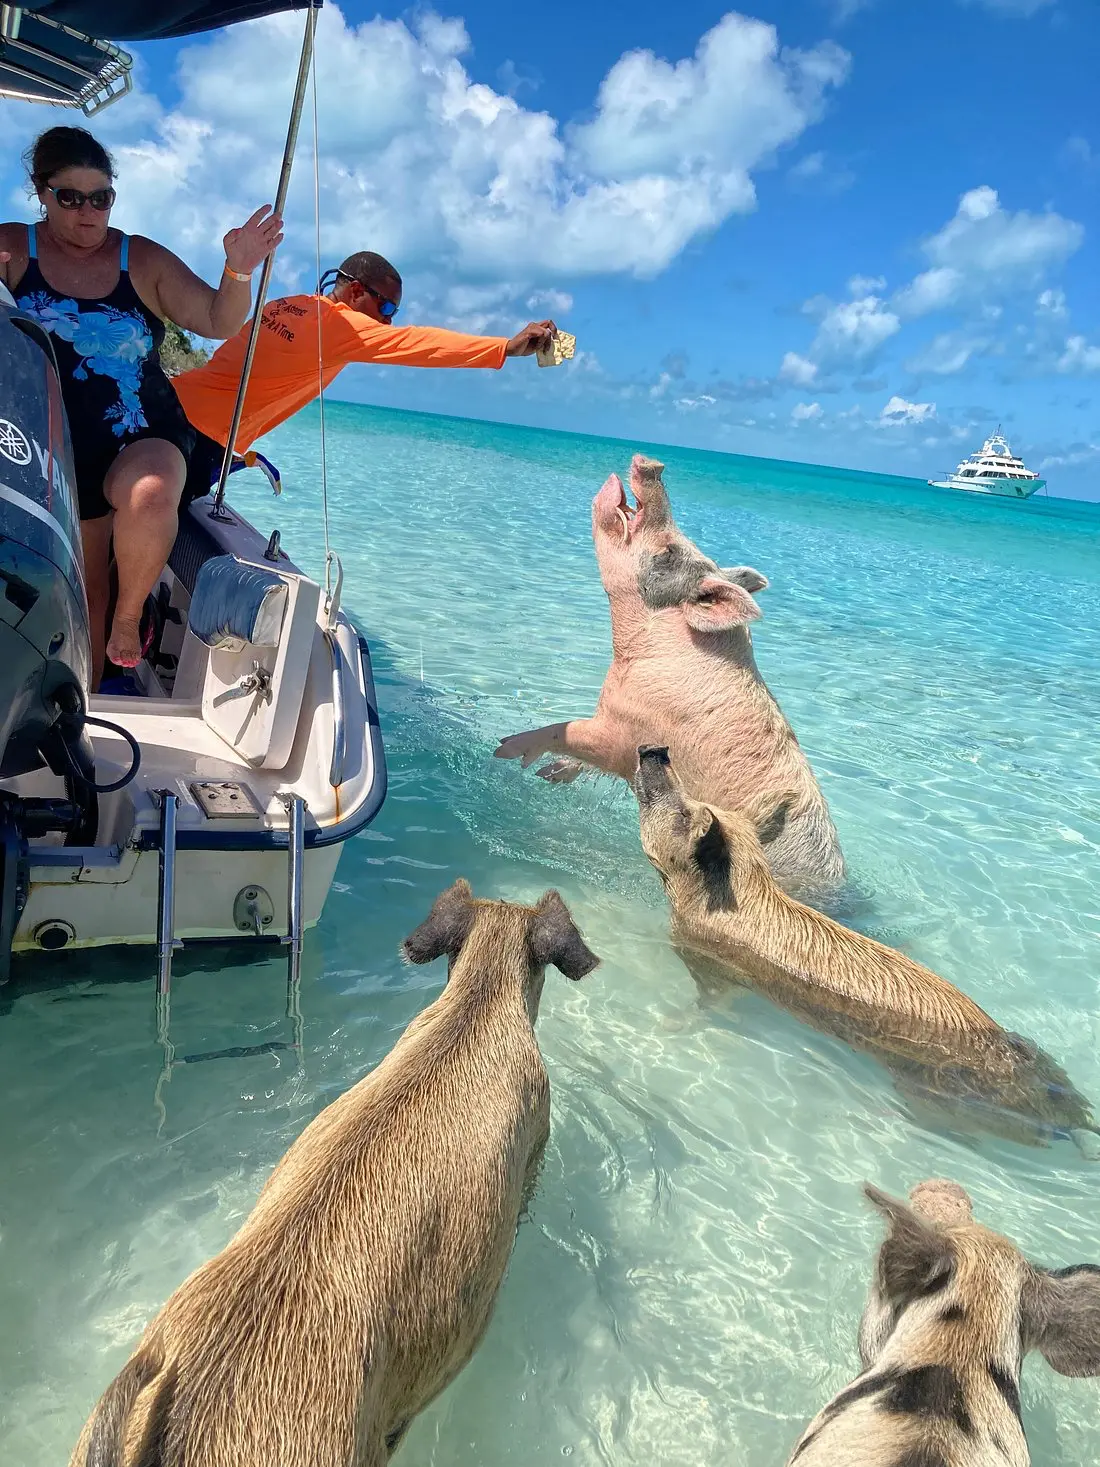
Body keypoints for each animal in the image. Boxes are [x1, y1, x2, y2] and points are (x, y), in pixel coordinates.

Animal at [495, 451, 850, 897]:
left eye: (668, 550)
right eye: (678, 544)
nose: (652, 464)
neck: (635, 651)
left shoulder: (625, 727)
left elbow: (566, 730)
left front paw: (504, 749)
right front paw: (551, 775)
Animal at [633, 745, 1097, 1155]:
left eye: (685, 812)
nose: (654, 750)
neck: (730, 902)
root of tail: (1072, 1119)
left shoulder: (712, 967)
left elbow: (709, 1003)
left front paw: (670, 1025)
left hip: (932, 1097)